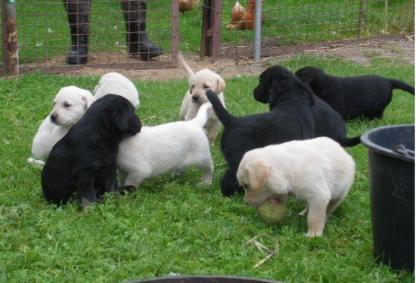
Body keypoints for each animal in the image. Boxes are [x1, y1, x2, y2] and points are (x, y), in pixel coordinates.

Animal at [207, 66, 316, 197]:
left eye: (261, 81)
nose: (253, 92)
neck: (292, 100)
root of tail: (232, 121)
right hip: (239, 158)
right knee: (229, 179)